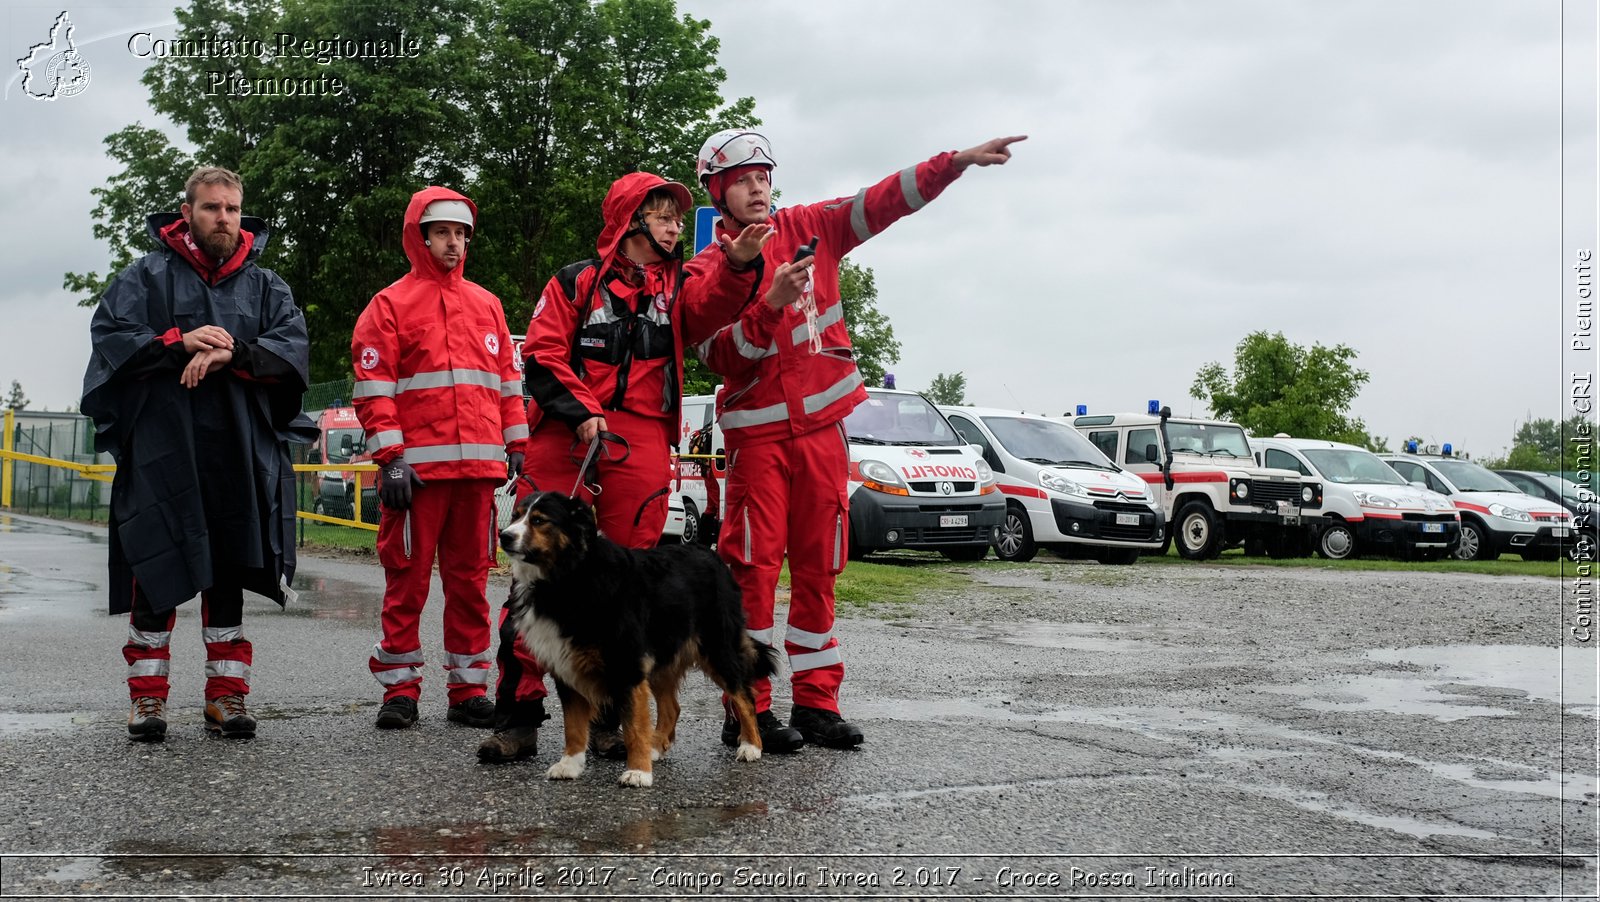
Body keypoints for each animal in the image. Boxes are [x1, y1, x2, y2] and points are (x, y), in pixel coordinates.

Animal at [496, 489, 777, 786]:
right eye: (515, 516)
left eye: (539, 520)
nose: (504, 536)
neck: (571, 574)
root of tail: (706, 551)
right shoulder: (566, 667)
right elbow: (573, 725)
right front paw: (570, 764)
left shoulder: (627, 665)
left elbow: (633, 726)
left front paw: (638, 772)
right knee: (672, 707)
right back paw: (656, 746)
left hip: (718, 648)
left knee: (744, 696)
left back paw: (751, 746)